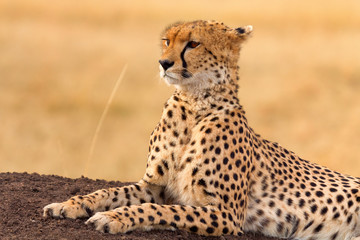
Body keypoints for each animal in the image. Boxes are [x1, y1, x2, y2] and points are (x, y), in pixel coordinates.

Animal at [43, 20, 360, 240]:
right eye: (166, 40)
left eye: (193, 44)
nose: (164, 62)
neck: (194, 105)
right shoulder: (155, 186)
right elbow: (107, 191)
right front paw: (67, 204)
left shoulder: (226, 214)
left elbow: (161, 210)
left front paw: (114, 218)